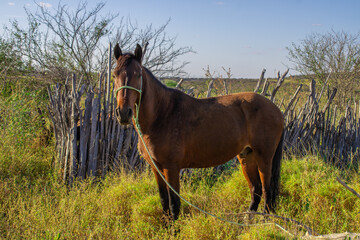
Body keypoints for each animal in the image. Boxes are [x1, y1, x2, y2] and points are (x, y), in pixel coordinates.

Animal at [112, 43, 284, 221]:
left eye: (138, 74)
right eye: (114, 74)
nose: (123, 113)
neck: (162, 115)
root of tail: (276, 110)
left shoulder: (171, 167)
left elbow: (174, 204)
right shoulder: (156, 167)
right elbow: (164, 200)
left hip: (264, 157)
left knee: (267, 189)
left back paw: (265, 221)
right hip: (246, 156)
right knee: (255, 189)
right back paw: (247, 220)